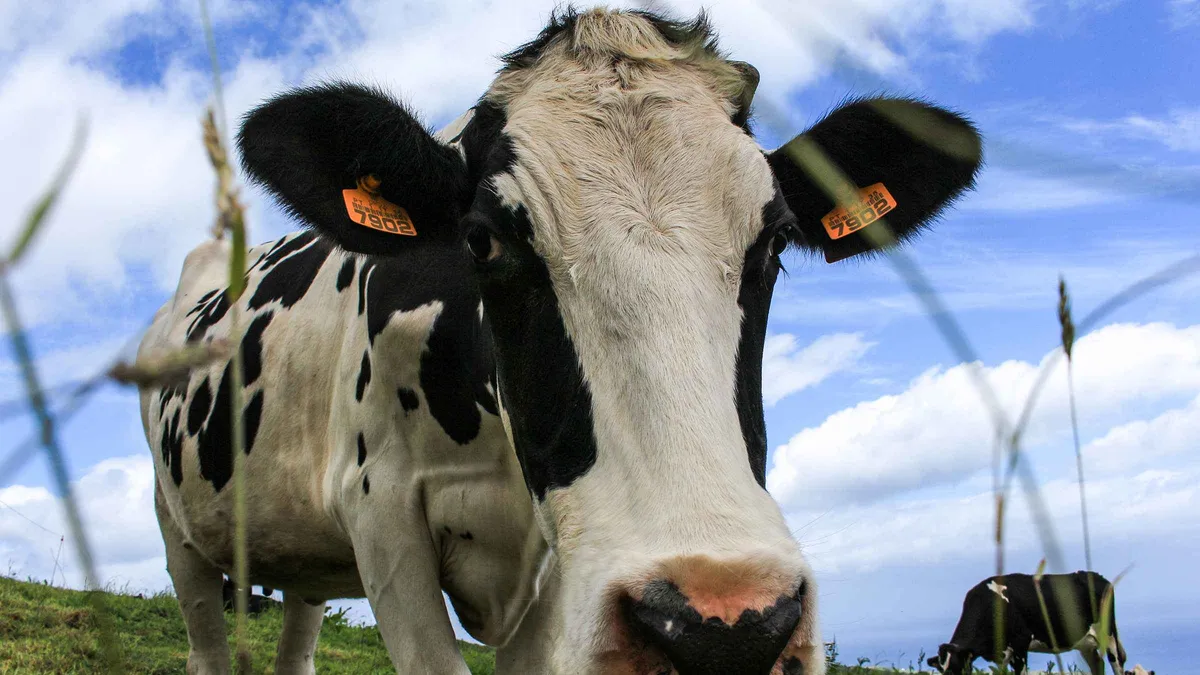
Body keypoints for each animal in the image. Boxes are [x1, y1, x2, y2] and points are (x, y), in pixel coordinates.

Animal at [138, 7, 982, 675]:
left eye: (774, 241)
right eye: (481, 239)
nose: (724, 629)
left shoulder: (553, 570)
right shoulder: (381, 513)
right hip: (178, 530)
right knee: (203, 639)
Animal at [927, 572, 1127, 675]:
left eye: (958, 669)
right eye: (942, 671)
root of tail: (1096, 576)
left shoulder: (1020, 643)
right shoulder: (1001, 654)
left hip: (1109, 635)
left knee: (1117, 663)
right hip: (1085, 644)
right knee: (1097, 665)